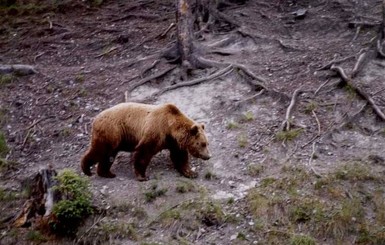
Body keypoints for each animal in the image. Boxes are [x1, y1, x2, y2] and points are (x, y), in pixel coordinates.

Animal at [81, 101, 212, 180]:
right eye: (202, 144)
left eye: (207, 143)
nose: (208, 156)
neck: (170, 128)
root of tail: (95, 119)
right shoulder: (156, 131)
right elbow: (143, 153)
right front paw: (143, 176)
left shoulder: (173, 142)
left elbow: (179, 157)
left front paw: (190, 173)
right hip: (112, 131)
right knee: (100, 151)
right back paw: (87, 169)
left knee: (108, 156)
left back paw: (107, 173)